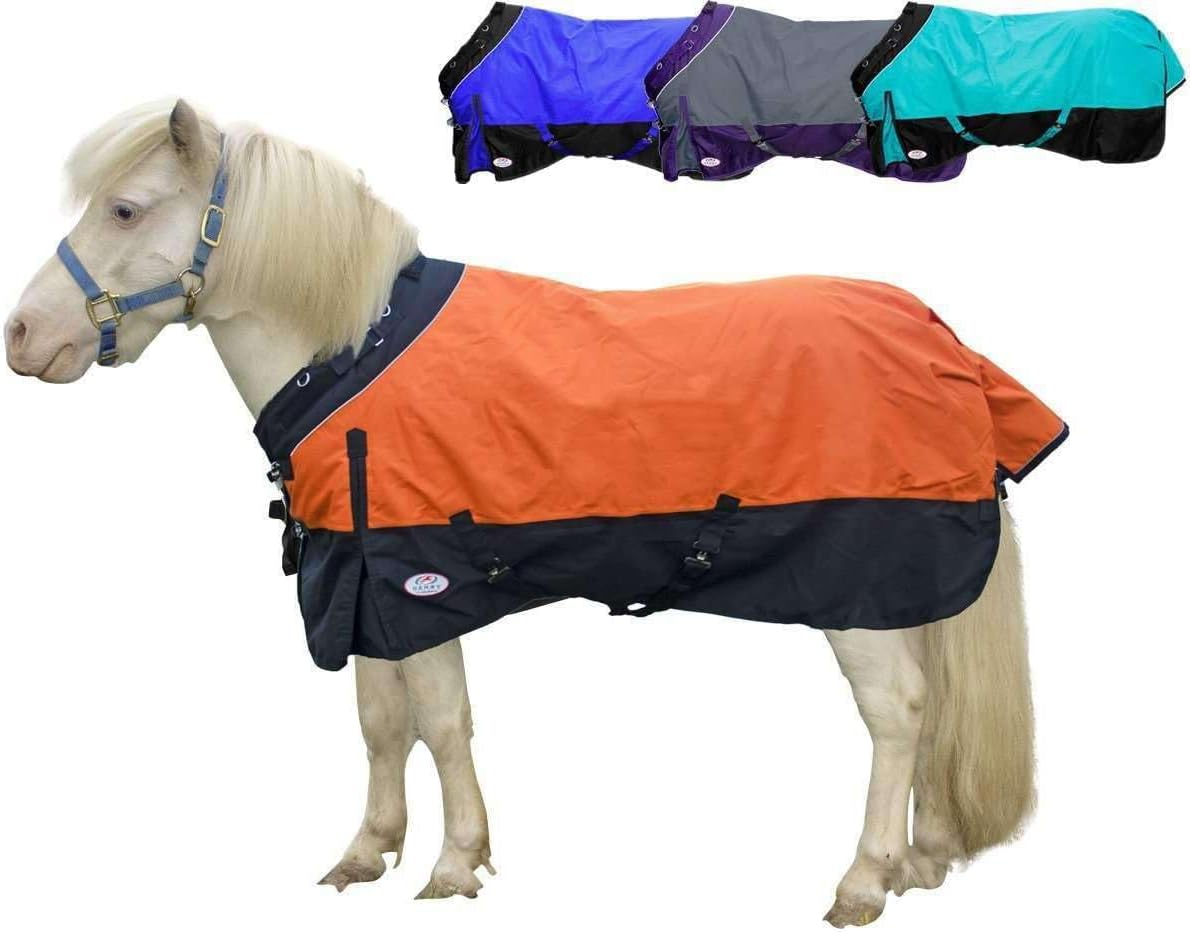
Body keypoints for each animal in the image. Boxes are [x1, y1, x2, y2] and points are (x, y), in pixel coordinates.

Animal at [4, 99, 1037, 928]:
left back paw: (865, 878)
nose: (22, 334)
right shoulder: (361, 580)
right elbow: (382, 723)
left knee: (900, 712)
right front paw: (367, 849)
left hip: (855, 592)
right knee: (934, 709)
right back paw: (923, 858)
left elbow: (441, 720)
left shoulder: (418, 583)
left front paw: (455, 862)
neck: (352, 353)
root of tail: (938, 337)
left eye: (126, 208)